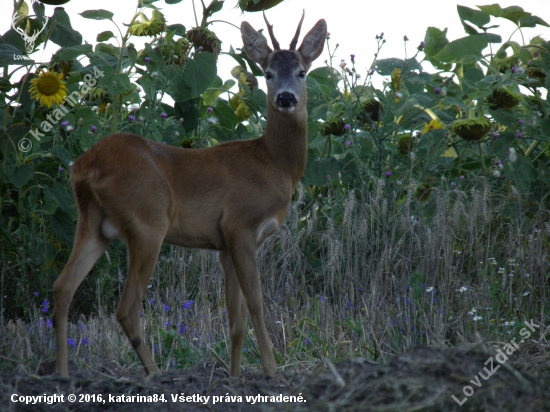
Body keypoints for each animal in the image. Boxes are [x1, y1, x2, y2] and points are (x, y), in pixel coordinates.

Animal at [51, 12, 328, 380]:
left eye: (301, 72)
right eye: (267, 73)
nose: (285, 98)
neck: (274, 164)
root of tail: (85, 165)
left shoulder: (225, 244)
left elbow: (235, 319)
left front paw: (234, 377)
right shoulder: (241, 225)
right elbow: (256, 303)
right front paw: (272, 372)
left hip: (93, 223)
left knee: (62, 288)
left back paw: (62, 374)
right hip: (148, 222)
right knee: (126, 308)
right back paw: (154, 375)